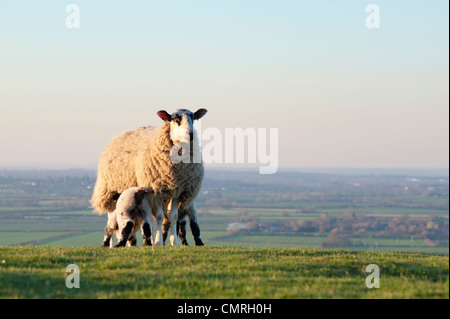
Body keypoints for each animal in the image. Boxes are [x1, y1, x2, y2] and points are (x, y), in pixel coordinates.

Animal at [91, 108, 207, 248]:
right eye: (175, 119)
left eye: (193, 117)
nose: (191, 135)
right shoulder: (156, 191)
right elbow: (160, 216)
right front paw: (158, 242)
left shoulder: (177, 191)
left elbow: (173, 216)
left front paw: (174, 242)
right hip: (111, 191)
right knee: (111, 216)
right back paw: (112, 244)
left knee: (147, 219)